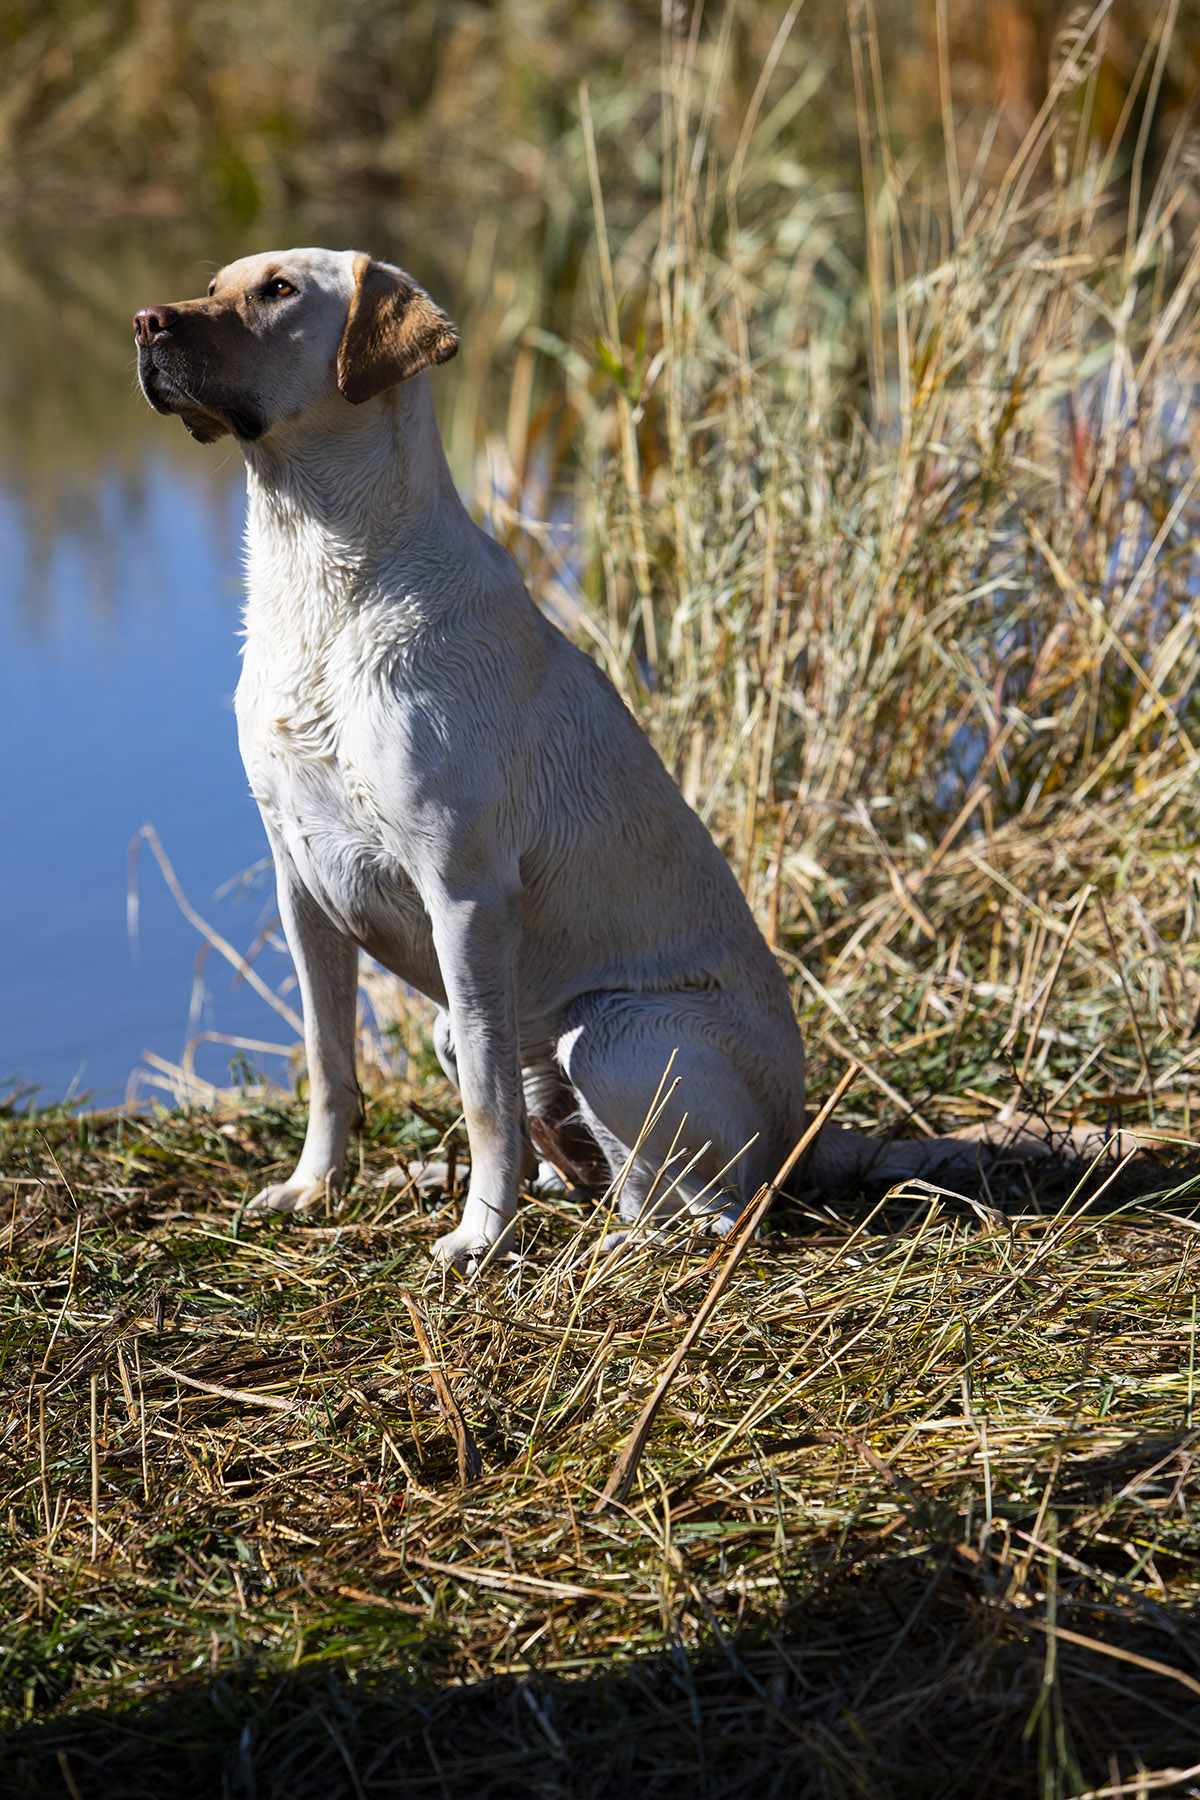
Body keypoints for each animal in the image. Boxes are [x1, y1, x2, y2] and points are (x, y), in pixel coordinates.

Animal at [134, 250, 1137, 1267]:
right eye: (216, 285)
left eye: (279, 292)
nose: (144, 323)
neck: (322, 587)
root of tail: (800, 1127)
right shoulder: (302, 886)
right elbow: (331, 1065)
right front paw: (316, 1187)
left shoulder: (464, 893)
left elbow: (486, 1104)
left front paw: (482, 1235)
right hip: (475, 1026)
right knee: (595, 1168)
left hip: (612, 1034)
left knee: (709, 1205)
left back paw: (609, 1242)